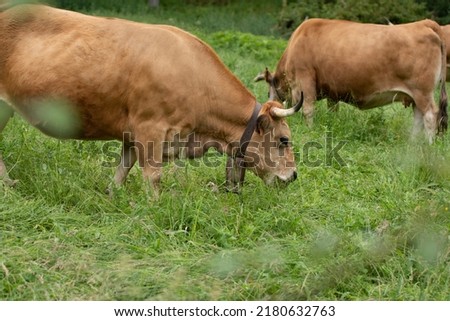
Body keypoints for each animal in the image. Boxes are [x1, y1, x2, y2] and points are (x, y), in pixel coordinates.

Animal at [0, 5, 302, 195]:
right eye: (284, 140)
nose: (293, 176)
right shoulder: (150, 129)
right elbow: (153, 177)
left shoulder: (132, 134)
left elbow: (123, 170)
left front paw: (113, 196)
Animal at [256, 17, 446, 142]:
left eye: (267, 91)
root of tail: (425, 23)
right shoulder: (332, 91)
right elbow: (332, 112)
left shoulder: (305, 79)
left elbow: (308, 109)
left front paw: (309, 129)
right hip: (416, 95)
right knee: (418, 118)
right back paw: (412, 145)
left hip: (423, 92)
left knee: (430, 116)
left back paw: (428, 147)